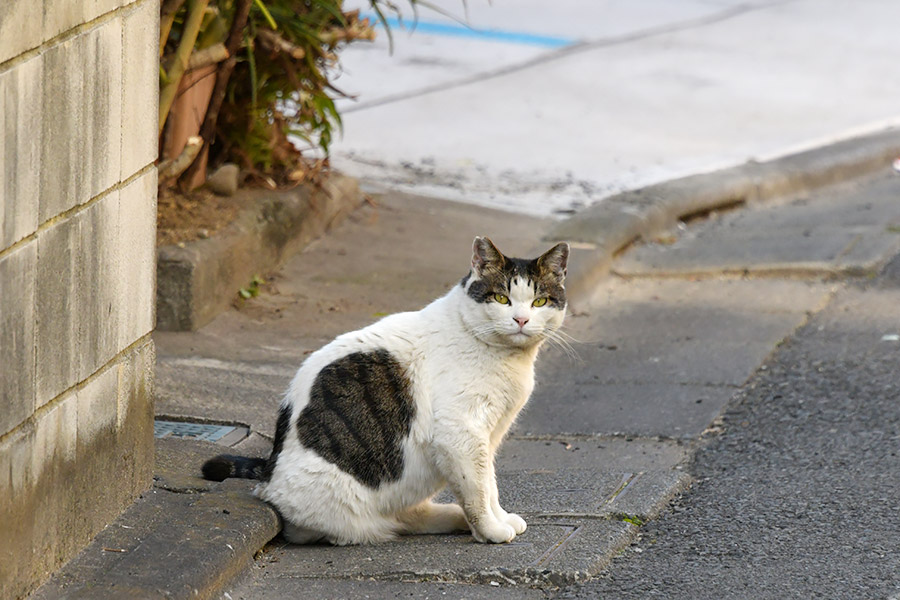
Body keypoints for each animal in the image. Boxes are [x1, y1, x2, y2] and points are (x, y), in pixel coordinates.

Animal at [204, 237, 568, 548]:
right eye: (502, 298)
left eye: (539, 301)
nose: (521, 320)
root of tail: (269, 477)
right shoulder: (460, 434)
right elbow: (478, 489)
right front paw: (491, 529)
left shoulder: (488, 436)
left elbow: (488, 483)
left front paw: (499, 518)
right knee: (359, 525)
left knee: (409, 514)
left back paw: (453, 516)